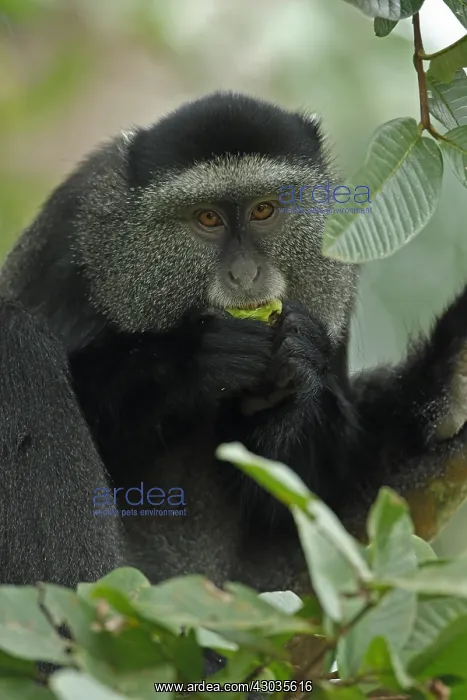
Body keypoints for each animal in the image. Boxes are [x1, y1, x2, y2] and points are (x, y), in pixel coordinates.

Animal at [2, 91, 467, 676]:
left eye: (264, 210)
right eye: (207, 218)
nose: (245, 275)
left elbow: (292, 490)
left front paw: (296, 370)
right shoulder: (67, 240)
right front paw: (198, 361)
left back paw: (448, 384)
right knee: (16, 340)